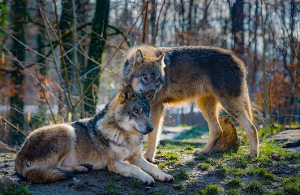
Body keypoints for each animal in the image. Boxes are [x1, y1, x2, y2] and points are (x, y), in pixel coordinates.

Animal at [15, 85, 173, 184]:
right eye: (135, 111)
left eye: (146, 112)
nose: (151, 128)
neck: (127, 136)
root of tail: (20, 152)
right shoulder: (114, 162)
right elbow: (135, 168)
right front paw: (146, 178)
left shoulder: (136, 157)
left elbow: (152, 167)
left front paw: (164, 175)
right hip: (67, 130)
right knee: (56, 168)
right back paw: (79, 169)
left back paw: (81, 168)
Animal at [120, 44, 258, 161]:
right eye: (145, 77)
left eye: (158, 80)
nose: (151, 95)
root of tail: (238, 60)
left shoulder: (156, 107)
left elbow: (152, 135)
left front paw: (148, 157)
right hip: (205, 105)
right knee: (217, 130)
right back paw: (203, 152)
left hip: (229, 105)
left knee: (252, 127)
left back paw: (253, 154)